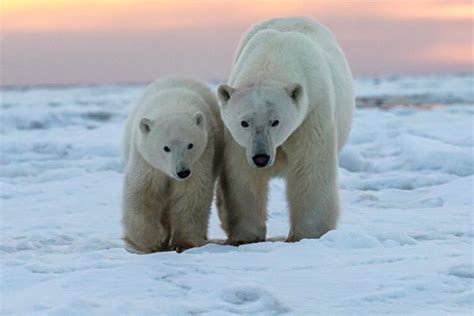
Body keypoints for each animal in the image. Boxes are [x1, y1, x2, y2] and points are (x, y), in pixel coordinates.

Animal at [217, 16, 354, 244]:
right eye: (244, 122)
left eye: (275, 121)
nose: (261, 157)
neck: (273, 54)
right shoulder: (238, 141)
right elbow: (243, 175)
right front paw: (245, 236)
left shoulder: (311, 114)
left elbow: (310, 168)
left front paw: (307, 234)